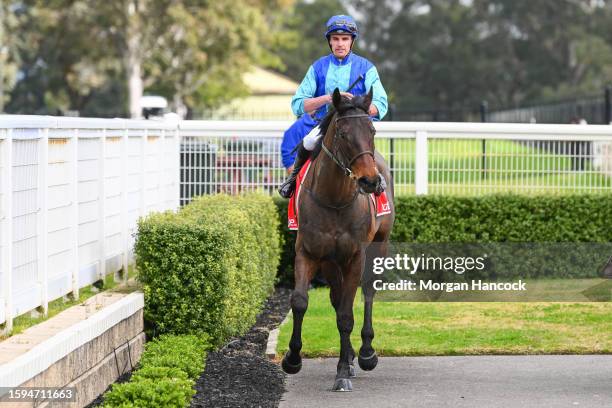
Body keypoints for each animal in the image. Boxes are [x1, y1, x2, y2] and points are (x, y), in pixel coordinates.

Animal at [280, 87, 394, 390]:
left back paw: (365, 353)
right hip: (331, 262)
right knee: (337, 296)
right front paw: (292, 358)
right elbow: (300, 301)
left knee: (367, 292)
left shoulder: (355, 256)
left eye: (372, 130)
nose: (370, 182)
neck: (334, 200)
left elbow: (346, 315)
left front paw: (343, 370)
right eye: (343, 134)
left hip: (380, 245)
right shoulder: (309, 252)